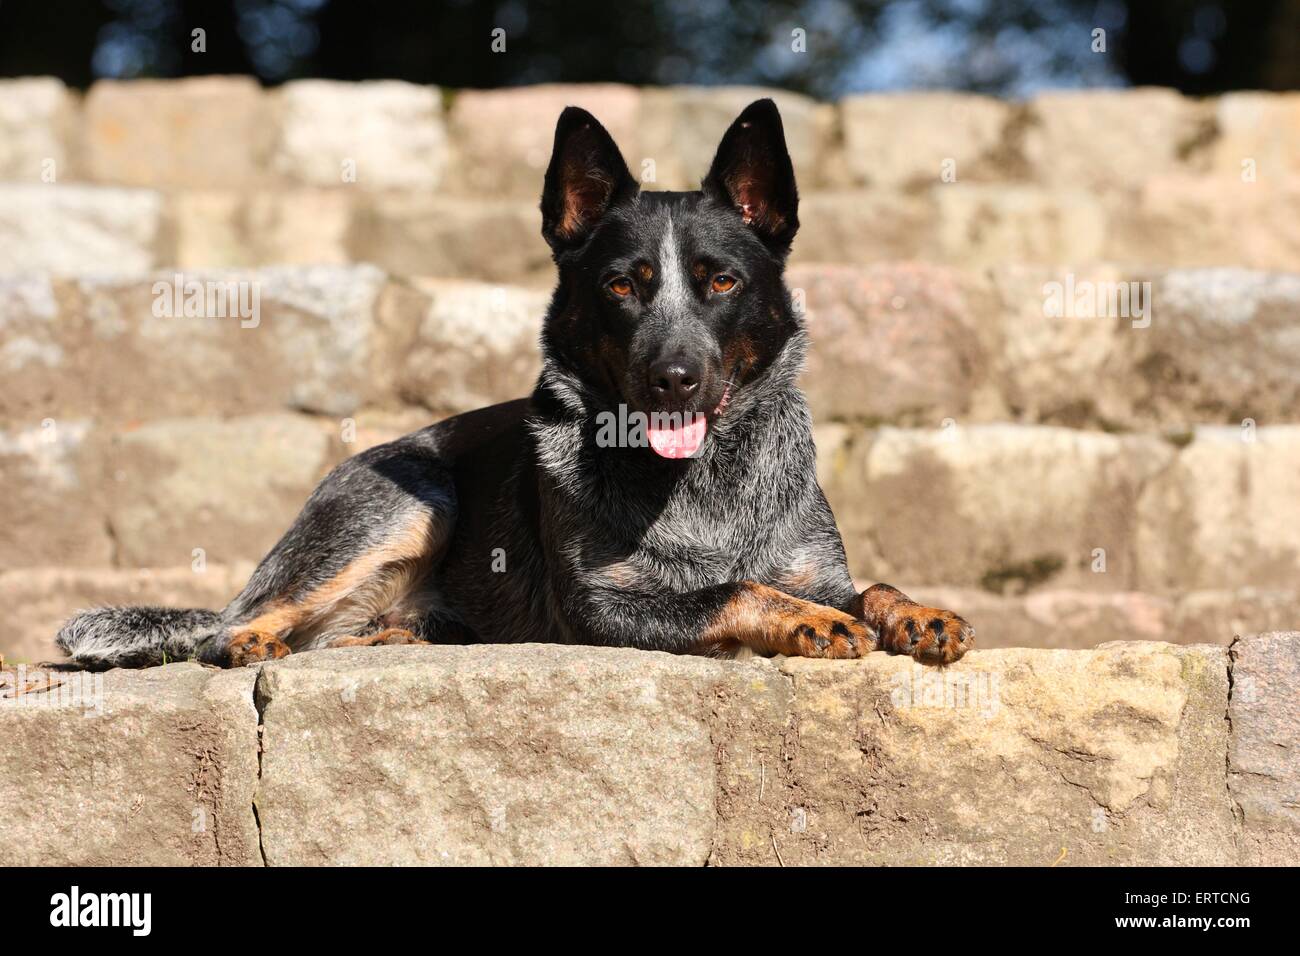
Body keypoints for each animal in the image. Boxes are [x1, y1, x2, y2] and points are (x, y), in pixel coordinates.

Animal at [58, 97, 977, 665]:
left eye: (721, 281)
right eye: (622, 286)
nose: (674, 379)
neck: (701, 484)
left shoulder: (811, 564)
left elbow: (863, 584)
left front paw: (915, 610)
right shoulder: (603, 608)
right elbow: (732, 588)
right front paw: (810, 623)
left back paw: (399, 635)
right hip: (410, 498)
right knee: (238, 624)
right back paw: (257, 640)